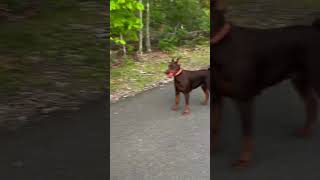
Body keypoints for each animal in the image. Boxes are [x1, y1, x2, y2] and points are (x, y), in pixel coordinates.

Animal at [211, 8, 320, 167]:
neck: (221, 45)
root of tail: (316, 29)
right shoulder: (216, 97)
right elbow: (214, 127)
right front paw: (212, 150)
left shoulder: (244, 99)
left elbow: (246, 134)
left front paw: (243, 160)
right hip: (299, 79)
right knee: (311, 103)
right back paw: (305, 132)